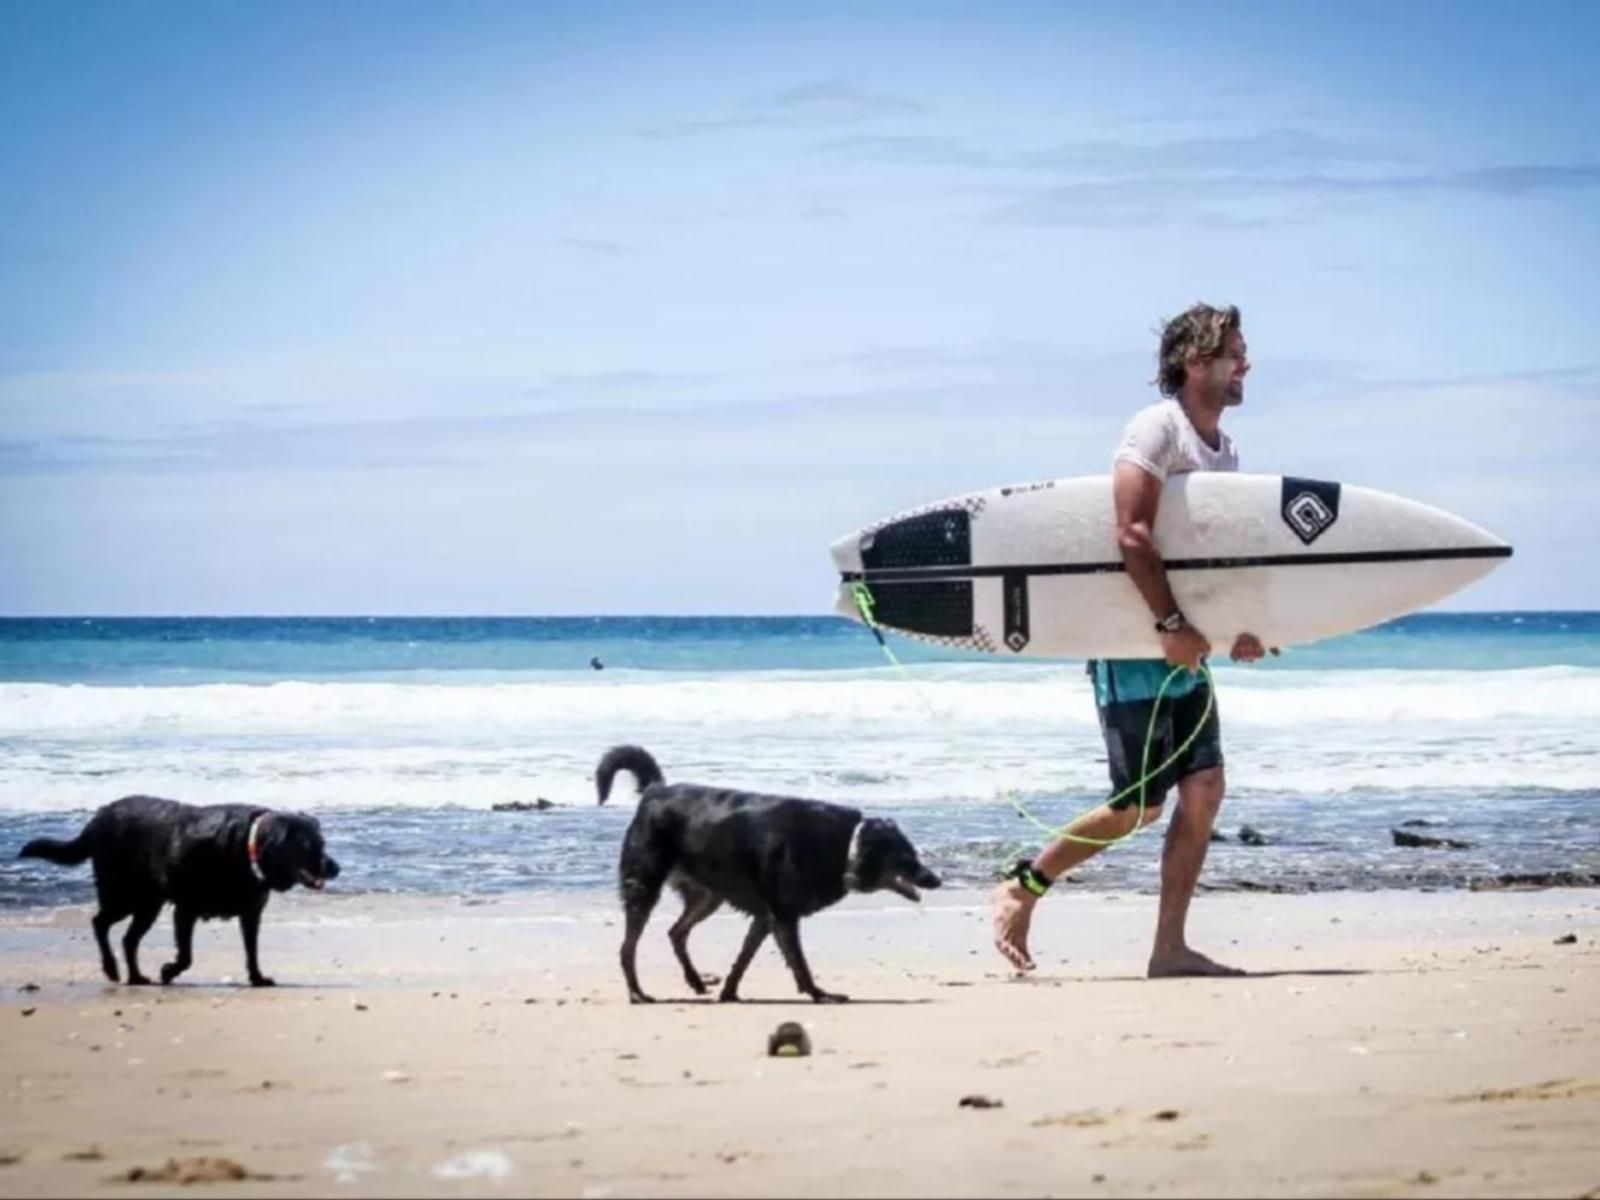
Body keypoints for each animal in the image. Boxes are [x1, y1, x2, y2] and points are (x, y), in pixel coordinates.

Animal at [18, 800, 337, 985]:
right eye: (308, 846)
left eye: (323, 843)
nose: (336, 868)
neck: (246, 848)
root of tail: (97, 818)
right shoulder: (185, 910)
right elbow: (186, 956)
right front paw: (169, 971)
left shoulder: (251, 914)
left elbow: (252, 951)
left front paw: (257, 978)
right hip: (123, 895)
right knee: (100, 923)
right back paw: (111, 969)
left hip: (148, 905)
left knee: (128, 938)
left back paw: (136, 977)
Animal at [598, 748, 934, 998]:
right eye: (906, 857)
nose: (936, 879)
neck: (847, 845)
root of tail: (655, 792)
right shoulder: (783, 916)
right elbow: (798, 961)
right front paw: (817, 993)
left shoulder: (765, 918)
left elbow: (743, 959)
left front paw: (730, 993)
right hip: (643, 887)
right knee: (628, 948)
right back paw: (637, 993)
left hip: (707, 897)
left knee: (676, 932)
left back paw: (695, 981)